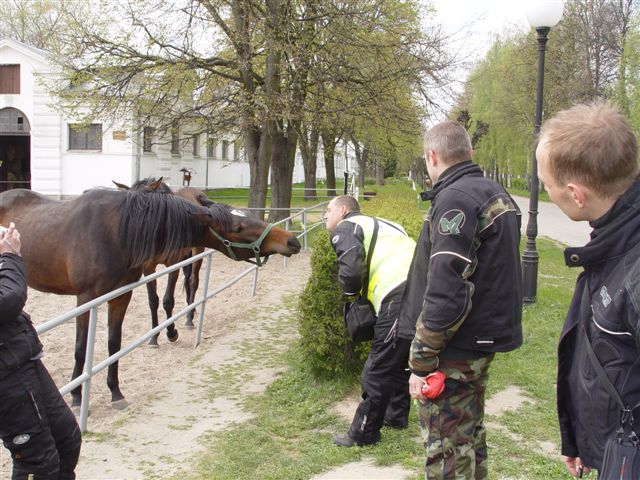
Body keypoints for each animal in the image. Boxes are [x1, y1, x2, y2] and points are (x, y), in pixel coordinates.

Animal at [0, 186, 300, 406]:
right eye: (237, 228)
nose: (291, 240)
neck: (117, 232)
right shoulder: (85, 299)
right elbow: (80, 348)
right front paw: (75, 395)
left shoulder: (121, 296)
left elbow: (113, 344)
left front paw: (115, 392)